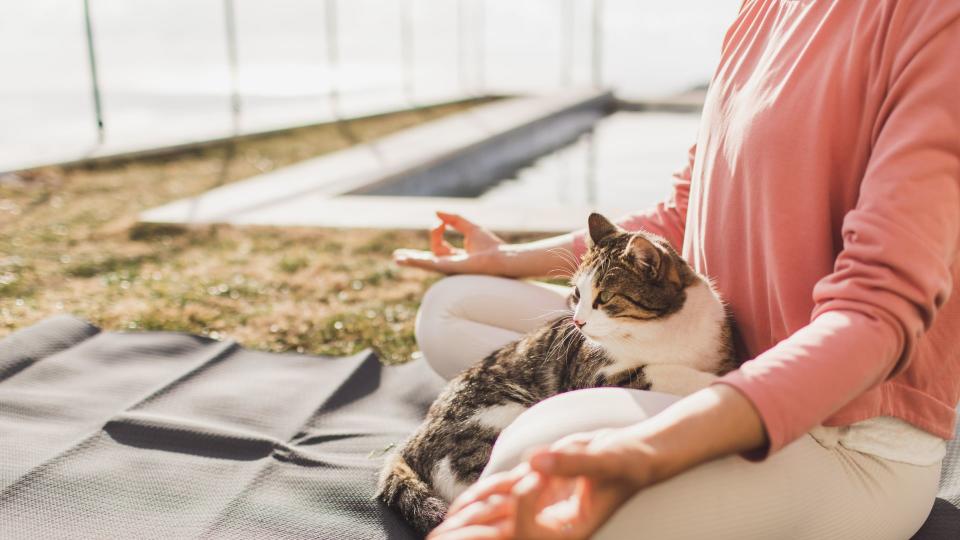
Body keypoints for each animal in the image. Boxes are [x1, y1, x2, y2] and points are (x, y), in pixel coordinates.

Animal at [376, 213, 736, 532]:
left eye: (605, 297)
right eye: (576, 294)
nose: (578, 321)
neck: (664, 329)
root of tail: (413, 439)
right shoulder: (594, 375)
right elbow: (658, 371)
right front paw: (712, 382)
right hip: (496, 417)